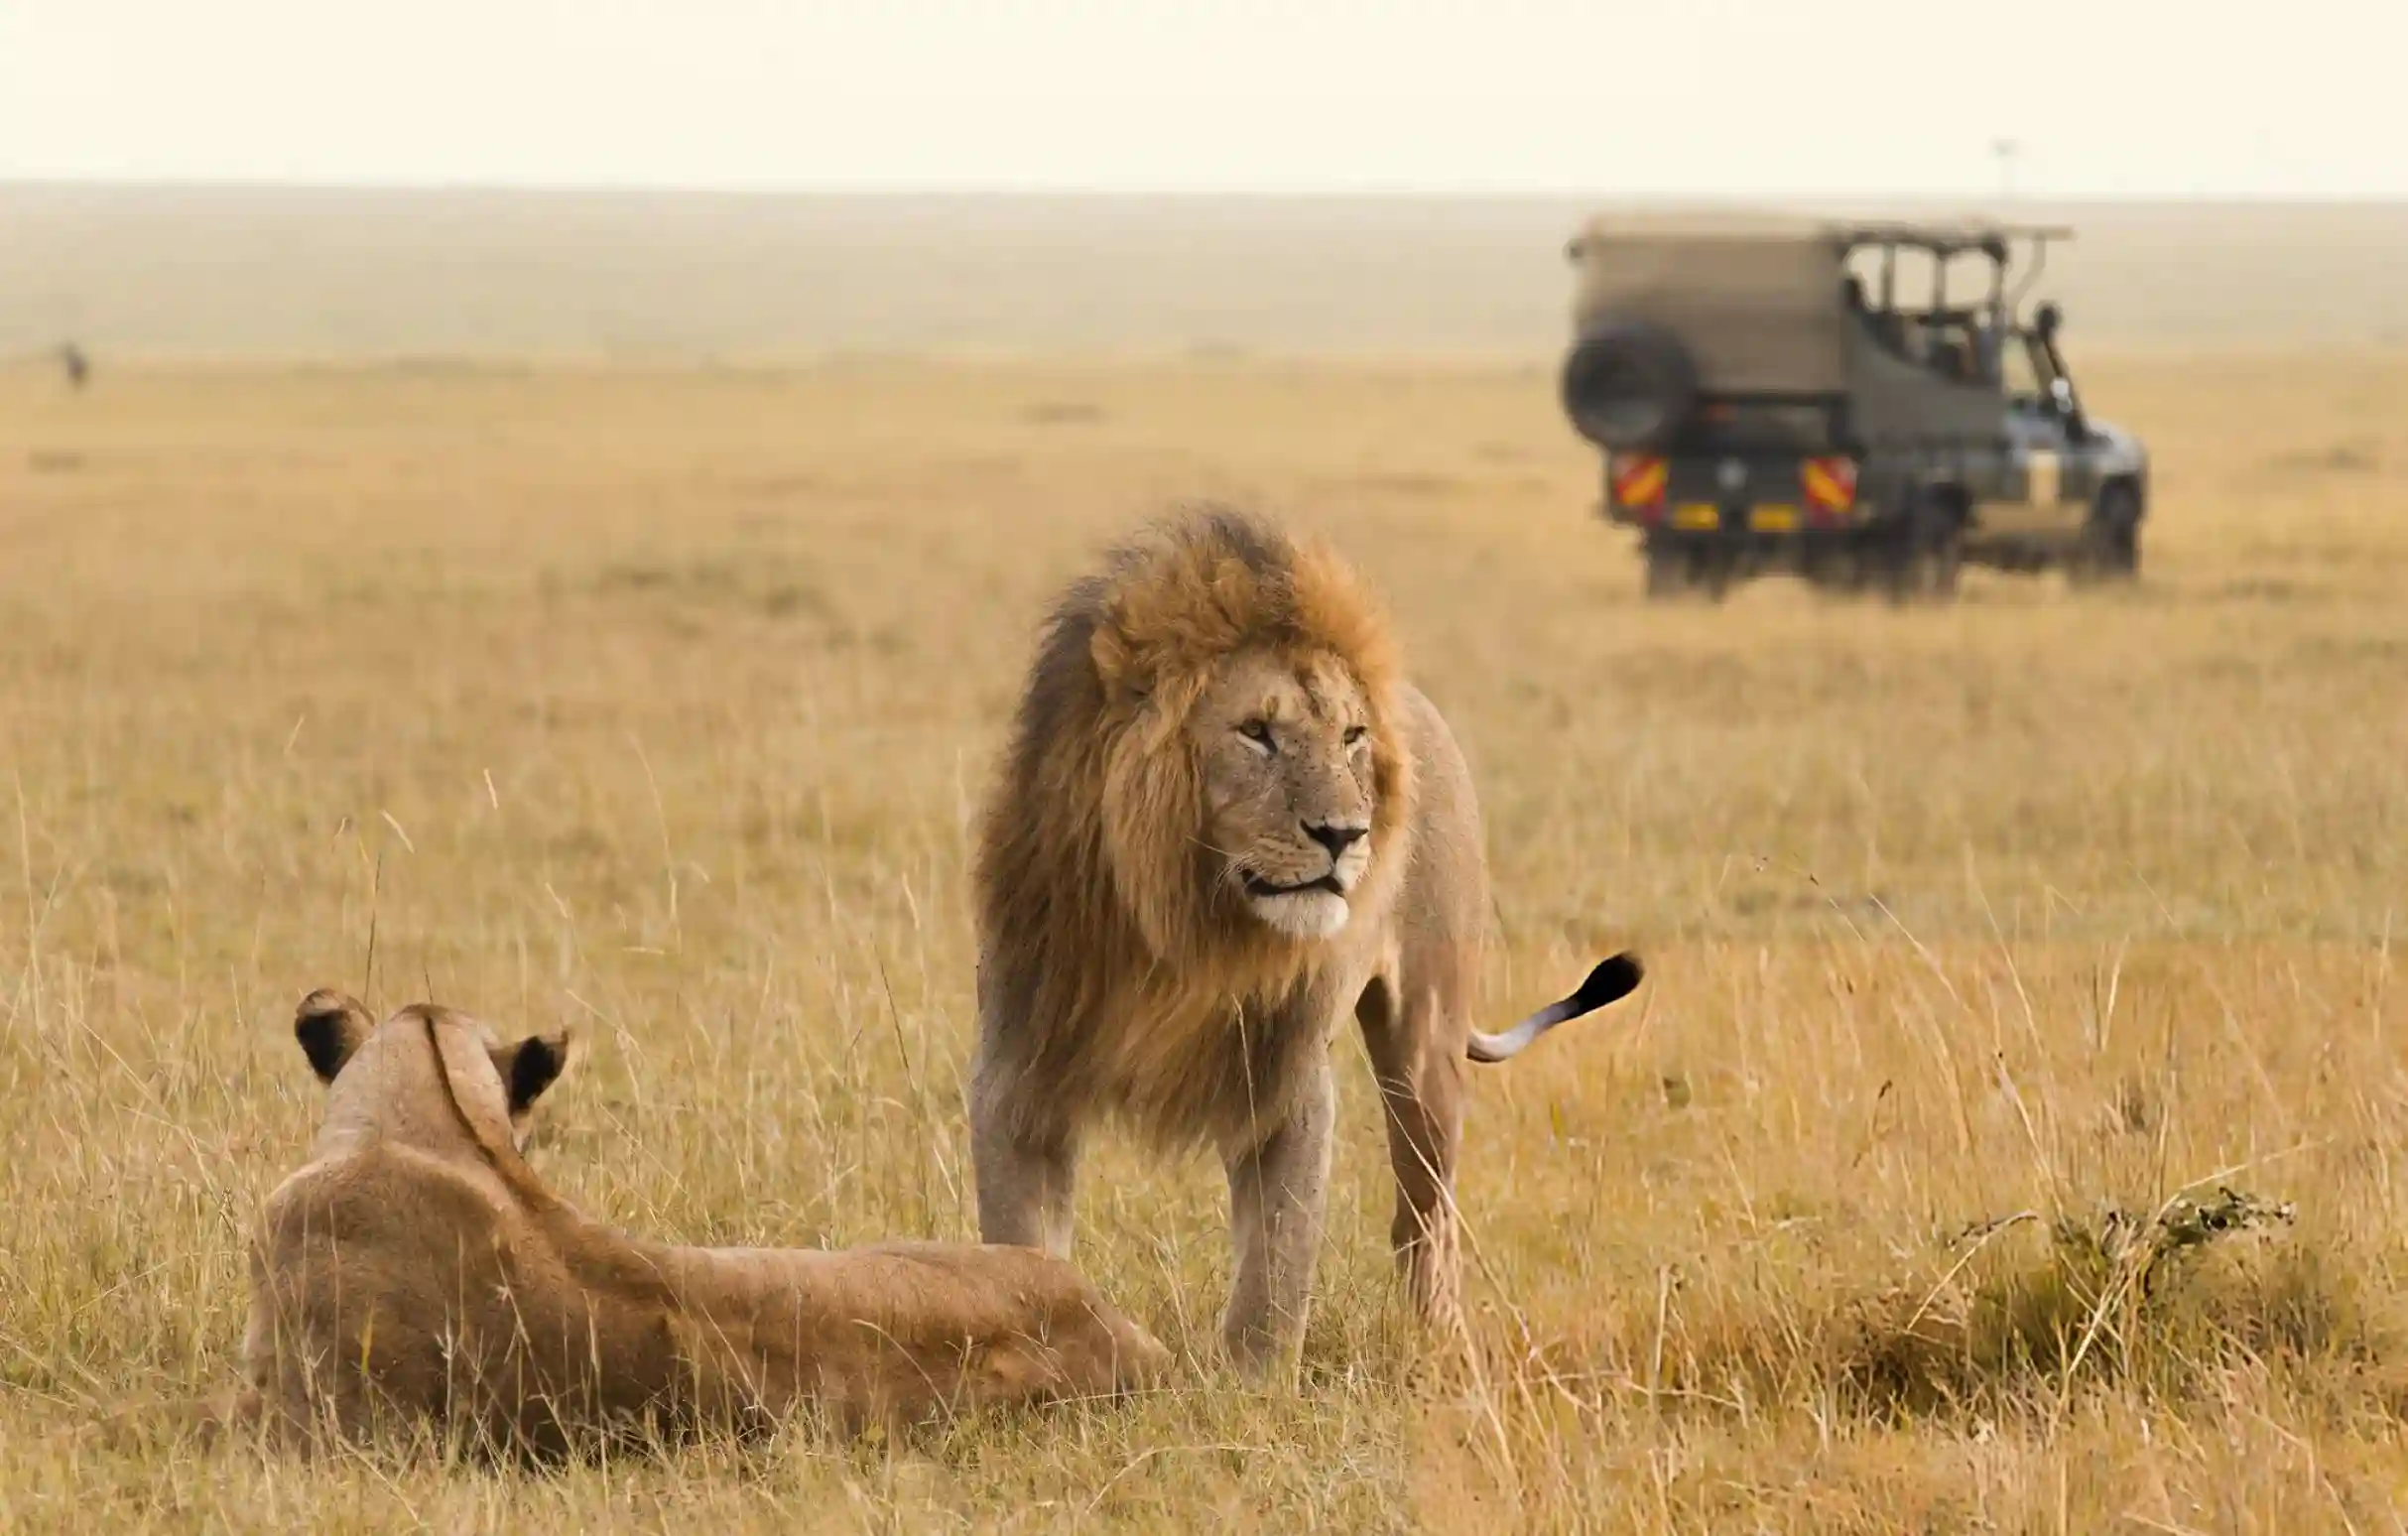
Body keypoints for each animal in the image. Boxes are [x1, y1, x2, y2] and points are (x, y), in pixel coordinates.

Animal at [968, 505, 1644, 1374]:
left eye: (1350, 736)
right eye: (1256, 732)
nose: (1344, 834)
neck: (1183, 930)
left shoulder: (1286, 1080)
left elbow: (1276, 1265)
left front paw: (1250, 1389)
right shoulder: (1020, 1072)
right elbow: (1022, 1249)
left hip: (1425, 1043)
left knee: (1424, 1217)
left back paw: (1440, 1346)